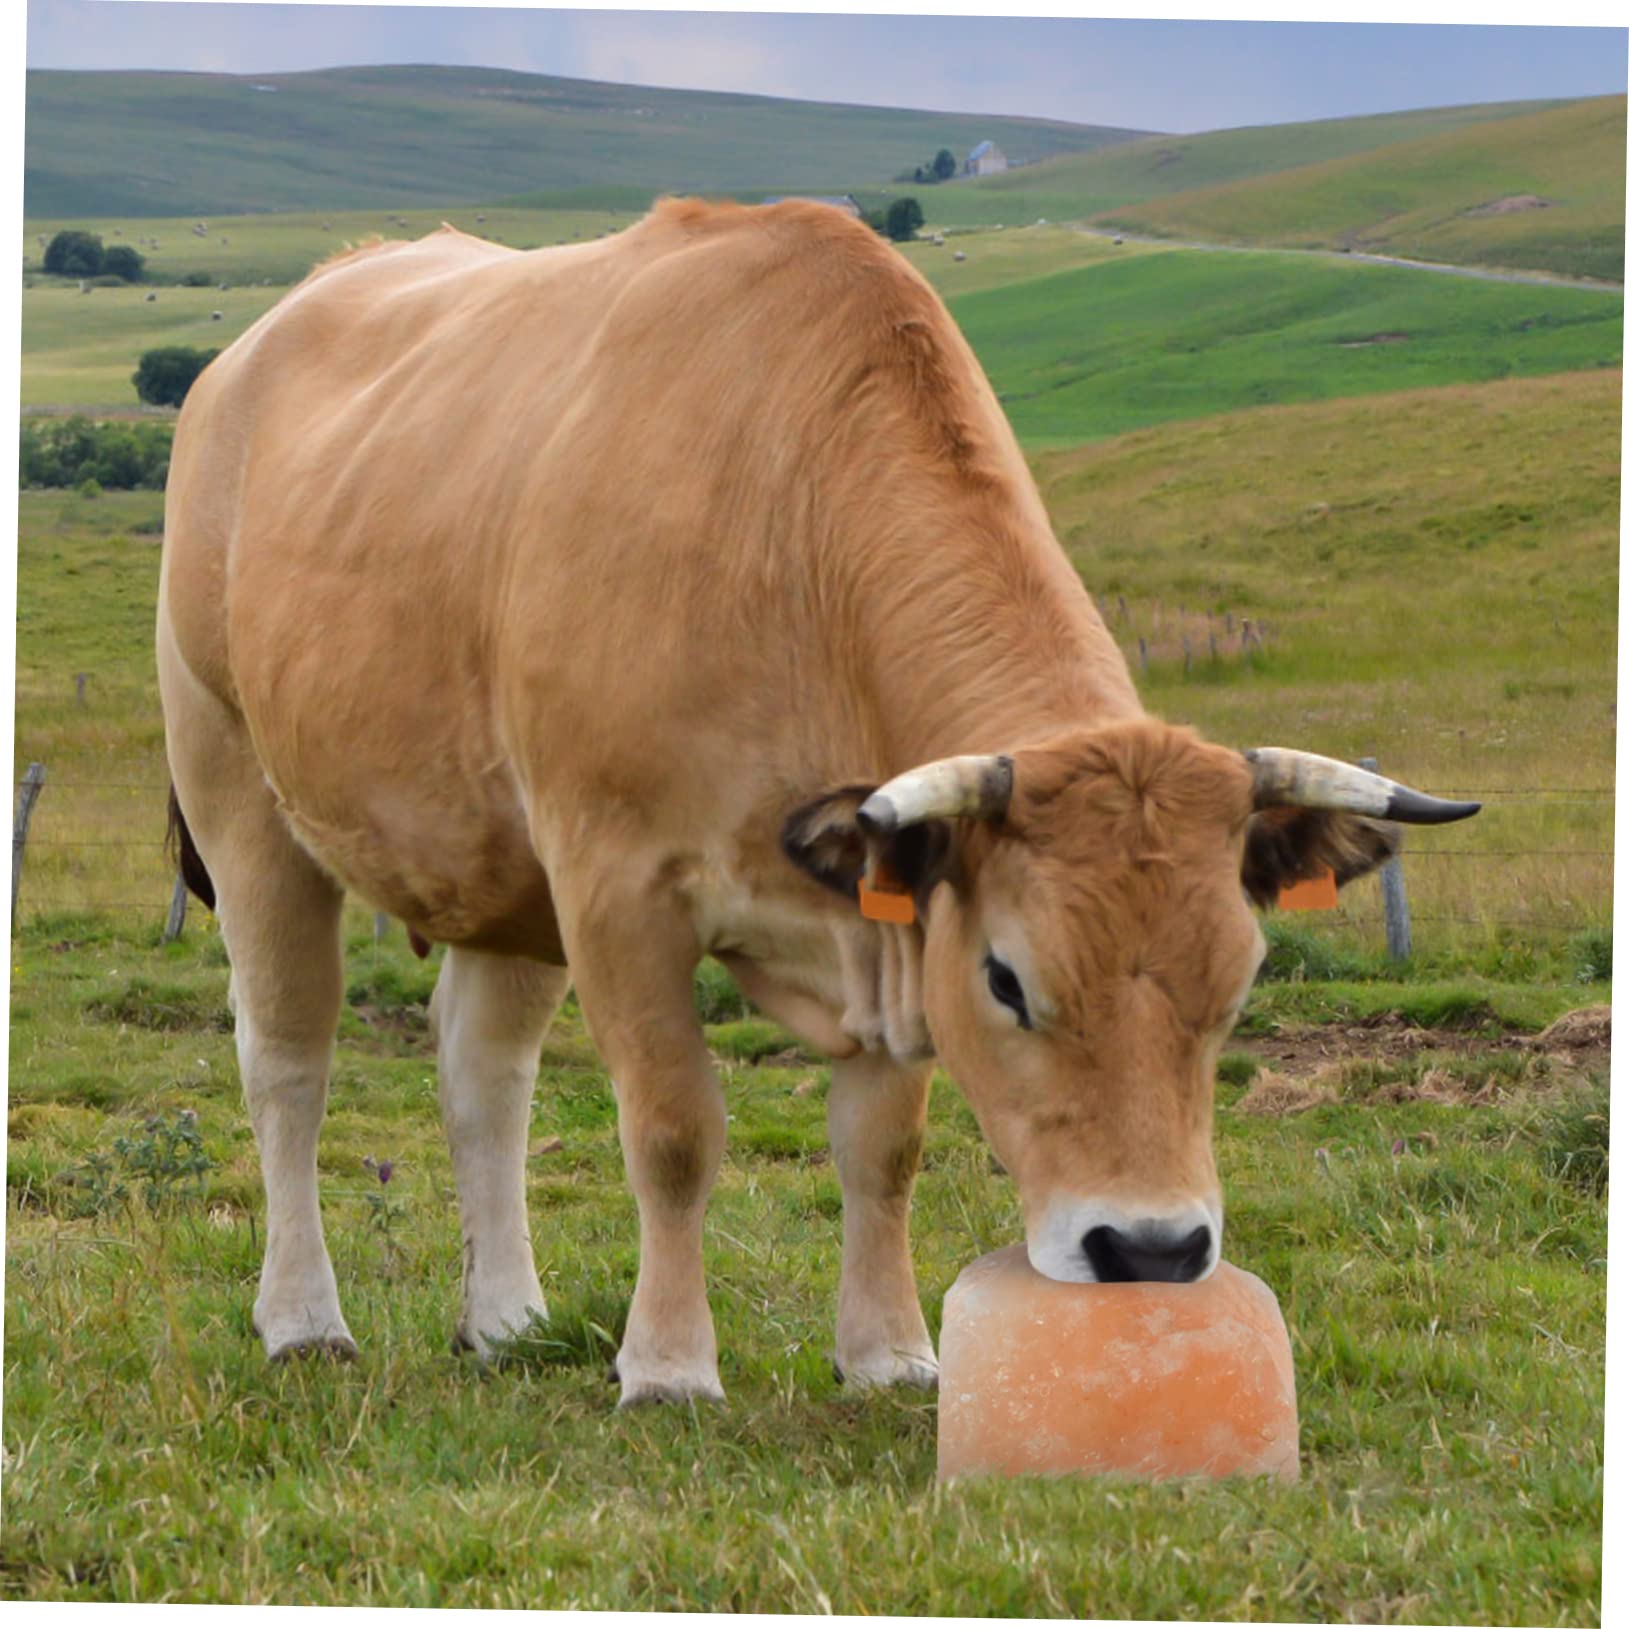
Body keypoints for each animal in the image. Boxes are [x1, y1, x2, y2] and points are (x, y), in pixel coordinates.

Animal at [157, 198, 1477, 1405]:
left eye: (1239, 981)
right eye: (1009, 981)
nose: (1151, 1251)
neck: (787, 542)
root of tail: (271, 328)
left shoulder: (885, 909)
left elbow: (882, 1152)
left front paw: (888, 1354)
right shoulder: (617, 886)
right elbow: (673, 1133)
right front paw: (669, 1366)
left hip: (495, 864)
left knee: (483, 1074)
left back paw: (508, 1320)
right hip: (242, 794)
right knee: (288, 1060)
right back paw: (304, 1319)